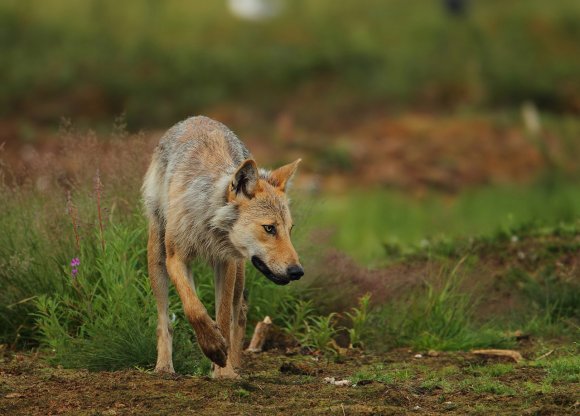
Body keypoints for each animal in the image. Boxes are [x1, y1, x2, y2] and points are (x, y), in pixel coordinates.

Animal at [142, 115, 304, 378]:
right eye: (270, 228)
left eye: (289, 230)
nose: (298, 272)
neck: (207, 219)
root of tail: (197, 118)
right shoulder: (175, 258)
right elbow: (194, 308)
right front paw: (213, 348)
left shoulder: (225, 262)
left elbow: (223, 317)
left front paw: (224, 371)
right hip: (157, 255)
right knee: (164, 320)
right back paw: (164, 367)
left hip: (239, 270)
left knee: (240, 312)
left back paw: (235, 364)